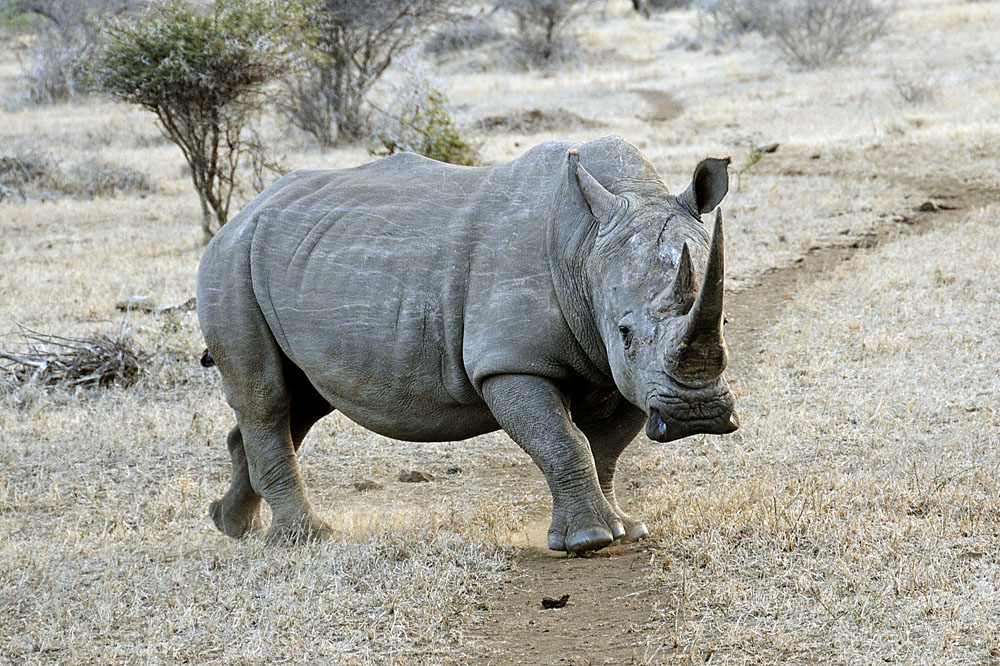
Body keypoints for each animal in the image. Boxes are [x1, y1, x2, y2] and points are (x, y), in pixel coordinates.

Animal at [196, 135, 738, 554]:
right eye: (625, 333)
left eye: (724, 320)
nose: (697, 416)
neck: (587, 243)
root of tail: (237, 218)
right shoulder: (511, 362)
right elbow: (563, 442)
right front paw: (589, 541)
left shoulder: (621, 372)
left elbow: (606, 449)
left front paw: (625, 528)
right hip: (229, 264)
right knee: (267, 396)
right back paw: (306, 539)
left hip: (290, 262)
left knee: (301, 401)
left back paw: (232, 526)